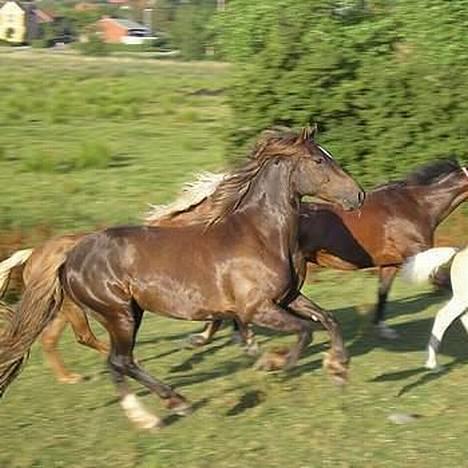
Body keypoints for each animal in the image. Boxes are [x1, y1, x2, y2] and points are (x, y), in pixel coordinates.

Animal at [0, 127, 366, 428]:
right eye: (319, 160)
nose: (359, 195)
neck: (260, 235)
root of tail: (68, 257)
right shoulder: (257, 308)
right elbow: (304, 331)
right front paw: (272, 362)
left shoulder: (287, 298)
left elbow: (328, 319)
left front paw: (338, 368)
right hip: (118, 314)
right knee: (119, 360)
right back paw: (161, 411)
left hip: (128, 312)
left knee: (116, 362)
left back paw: (159, 408)